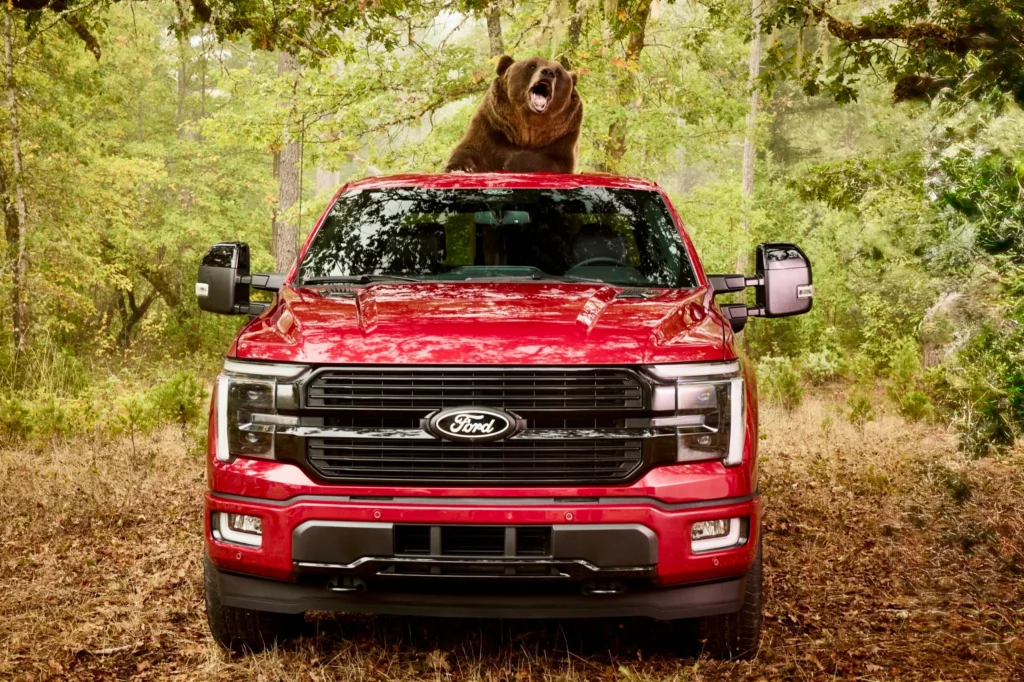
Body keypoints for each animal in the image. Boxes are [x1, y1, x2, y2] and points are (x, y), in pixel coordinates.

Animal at [445, 55, 583, 174]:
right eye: (532, 65)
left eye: (559, 72)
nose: (548, 72)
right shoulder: (491, 125)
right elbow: (470, 148)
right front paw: (460, 167)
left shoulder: (563, 135)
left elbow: (557, 162)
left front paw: (514, 162)